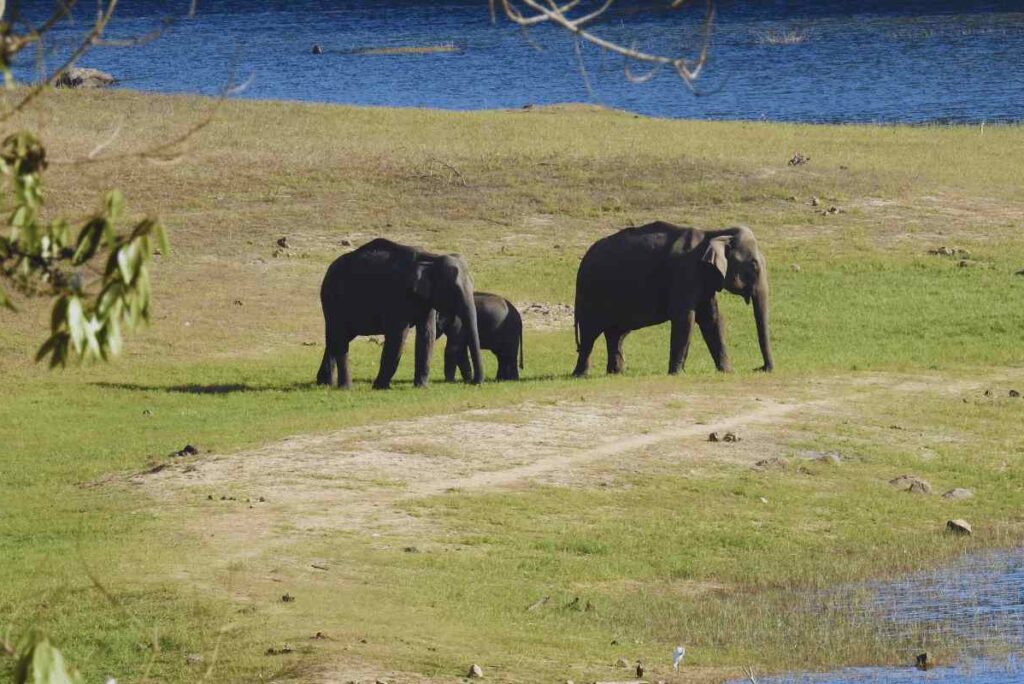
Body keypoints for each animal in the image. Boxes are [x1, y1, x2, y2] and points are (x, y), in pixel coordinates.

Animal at [315, 239, 483, 389]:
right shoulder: (397, 295)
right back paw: (345, 387)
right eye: (454, 290)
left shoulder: (426, 299)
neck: (431, 258)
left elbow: (427, 334)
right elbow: (398, 335)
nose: (474, 382)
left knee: (335, 338)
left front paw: (421, 387)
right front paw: (380, 387)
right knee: (340, 336)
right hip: (333, 298)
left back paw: (324, 383)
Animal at [573, 222, 770, 376]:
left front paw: (727, 372)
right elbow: (685, 317)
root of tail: (583, 261)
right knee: (590, 333)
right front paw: (677, 373)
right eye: (754, 265)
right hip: (590, 295)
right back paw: (580, 375)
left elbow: (711, 319)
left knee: (616, 334)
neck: (713, 233)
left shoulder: (704, 280)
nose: (759, 368)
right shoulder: (685, 273)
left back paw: (616, 373)